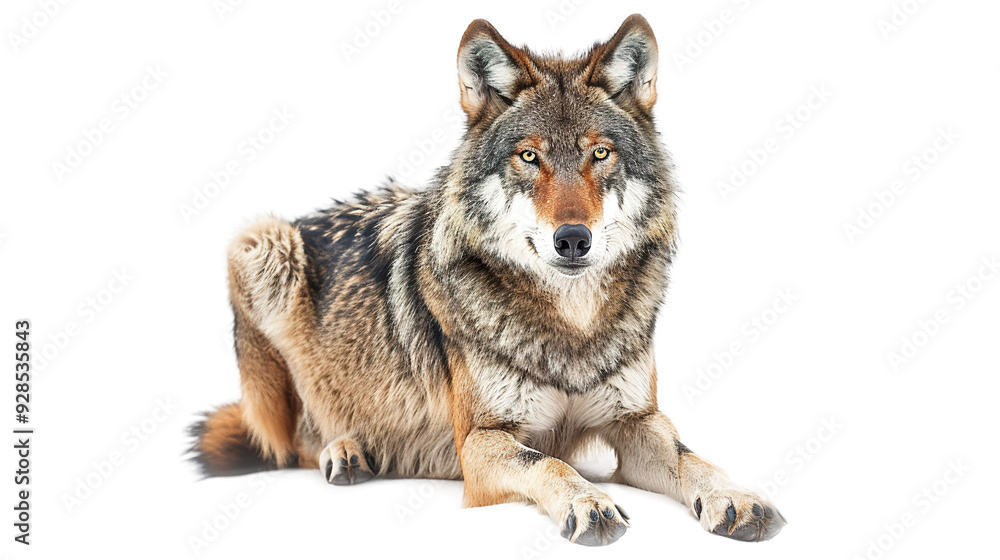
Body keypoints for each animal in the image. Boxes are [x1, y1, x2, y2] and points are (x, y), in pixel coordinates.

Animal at [189, 14, 785, 545]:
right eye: (529, 156)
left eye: (600, 153)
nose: (573, 239)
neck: (572, 325)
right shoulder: (480, 441)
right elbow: (547, 463)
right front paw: (588, 501)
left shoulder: (637, 419)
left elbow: (692, 456)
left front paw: (737, 497)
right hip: (259, 244)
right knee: (295, 440)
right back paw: (346, 450)